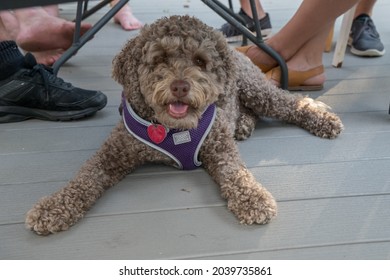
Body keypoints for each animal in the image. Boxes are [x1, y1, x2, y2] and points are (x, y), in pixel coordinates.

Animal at [25, 14, 342, 234]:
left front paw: (253, 198)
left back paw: (323, 119)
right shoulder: (114, 151)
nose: (180, 86)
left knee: (290, 102)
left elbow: (236, 173)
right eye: (160, 59)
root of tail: (237, 52)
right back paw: (243, 124)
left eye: (200, 61)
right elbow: (85, 177)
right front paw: (53, 207)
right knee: (249, 111)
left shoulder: (219, 148)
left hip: (257, 90)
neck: (173, 129)